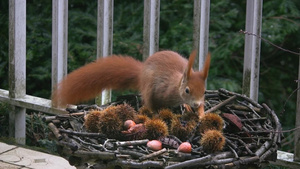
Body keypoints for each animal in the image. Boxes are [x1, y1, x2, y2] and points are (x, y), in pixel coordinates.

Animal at [52, 49, 211, 113]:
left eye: (204, 92)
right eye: (187, 90)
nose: (196, 103)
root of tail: (141, 72)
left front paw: (200, 113)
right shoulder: (161, 88)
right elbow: (151, 104)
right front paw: (156, 113)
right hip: (147, 85)